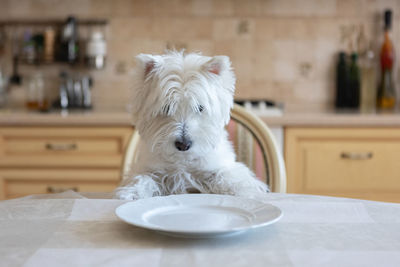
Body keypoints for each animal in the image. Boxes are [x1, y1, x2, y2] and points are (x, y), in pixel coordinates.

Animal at [113, 51, 268, 200]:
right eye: (166, 107)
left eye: (200, 107)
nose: (183, 144)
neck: (183, 161)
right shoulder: (150, 169)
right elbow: (143, 178)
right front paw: (131, 192)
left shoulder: (220, 166)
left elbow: (229, 176)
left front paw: (245, 191)